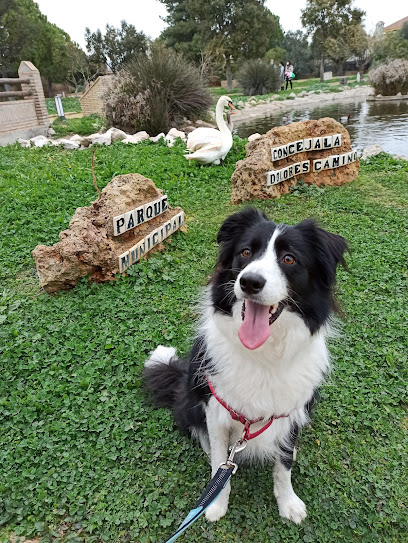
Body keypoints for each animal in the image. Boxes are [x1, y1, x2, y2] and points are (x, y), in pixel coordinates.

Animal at [143, 207, 348, 524]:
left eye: (289, 259)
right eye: (246, 252)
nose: (249, 282)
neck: (263, 354)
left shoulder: (290, 410)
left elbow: (284, 464)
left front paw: (288, 502)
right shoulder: (216, 411)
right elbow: (220, 461)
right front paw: (215, 502)